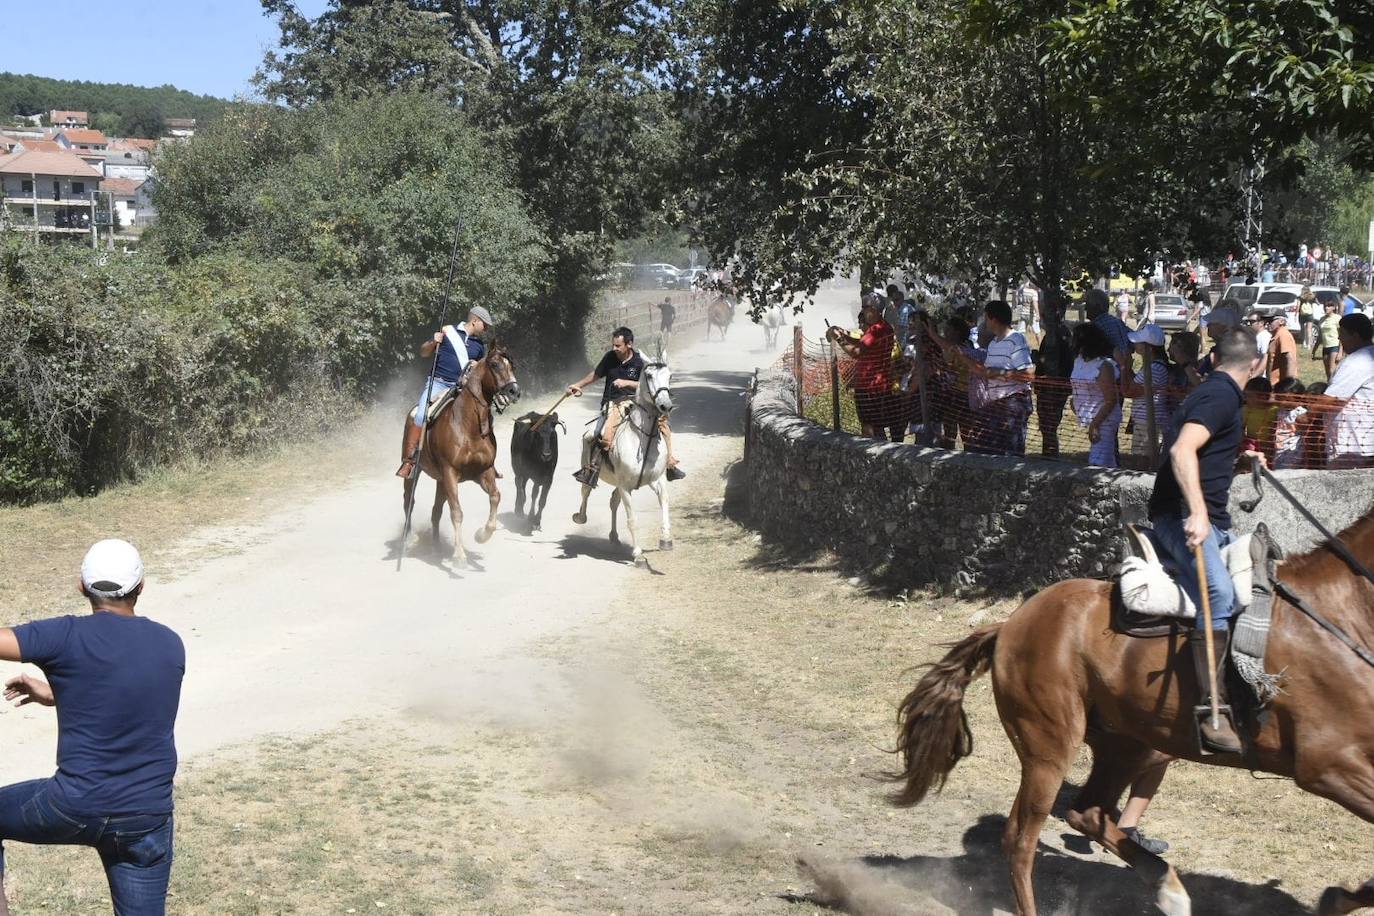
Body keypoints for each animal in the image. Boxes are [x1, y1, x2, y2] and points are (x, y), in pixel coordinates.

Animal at [403, 347, 522, 565]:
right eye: (495, 365)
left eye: (512, 366)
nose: (514, 391)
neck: (469, 426)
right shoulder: (450, 473)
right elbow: (457, 512)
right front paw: (459, 554)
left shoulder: (483, 472)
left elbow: (495, 496)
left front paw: (482, 535)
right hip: (414, 474)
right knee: (409, 502)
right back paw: (408, 541)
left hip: (441, 482)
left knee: (435, 512)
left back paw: (436, 548)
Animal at [571, 362, 673, 563]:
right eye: (649, 375)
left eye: (669, 376)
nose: (665, 405)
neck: (642, 439)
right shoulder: (625, 486)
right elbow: (632, 519)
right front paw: (638, 555)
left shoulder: (657, 479)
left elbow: (664, 500)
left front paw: (666, 539)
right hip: (592, 471)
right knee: (586, 491)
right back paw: (580, 517)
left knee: (613, 501)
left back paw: (614, 536)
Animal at [890, 513, 1374, 911]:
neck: (1341, 614)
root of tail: (1011, 623)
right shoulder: (1328, 766)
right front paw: (1335, 899)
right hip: (1050, 748)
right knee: (1021, 840)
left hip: (1129, 744)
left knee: (1087, 811)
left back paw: (1168, 888)